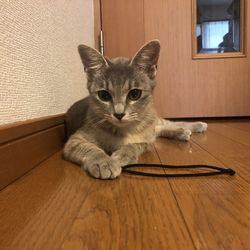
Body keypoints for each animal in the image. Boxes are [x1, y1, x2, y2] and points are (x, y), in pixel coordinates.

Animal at [64, 40, 207, 179]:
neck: (124, 131)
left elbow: (135, 145)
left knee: (164, 124)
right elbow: (89, 148)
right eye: (104, 95)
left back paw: (196, 125)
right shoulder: (75, 139)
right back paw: (181, 131)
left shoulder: (147, 142)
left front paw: (124, 154)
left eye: (134, 94)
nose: (119, 114)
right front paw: (104, 162)